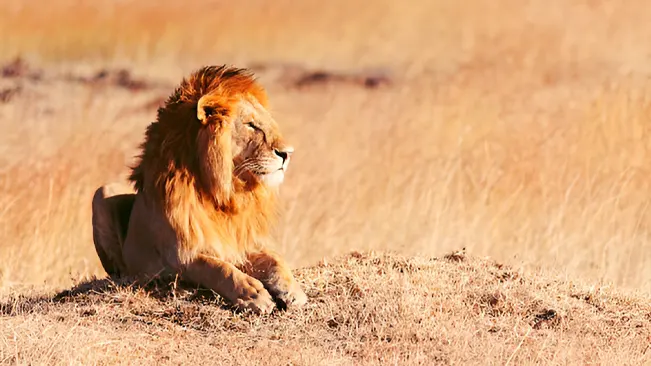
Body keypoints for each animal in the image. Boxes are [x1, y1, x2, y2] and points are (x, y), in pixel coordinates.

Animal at [90, 64, 310, 314]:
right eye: (251, 125)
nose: (288, 153)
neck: (224, 194)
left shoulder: (241, 244)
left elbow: (274, 259)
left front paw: (293, 290)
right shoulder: (179, 254)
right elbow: (216, 267)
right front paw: (252, 293)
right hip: (102, 193)